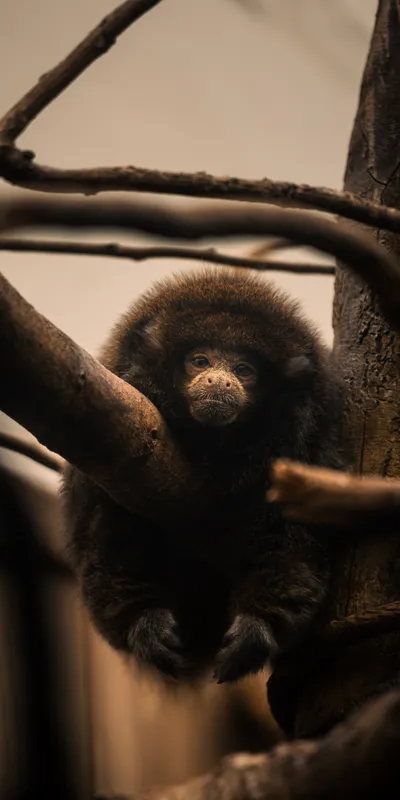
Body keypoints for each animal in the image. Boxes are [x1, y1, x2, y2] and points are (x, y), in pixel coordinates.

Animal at [62, 268, 345, 685]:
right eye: (200, 360)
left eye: (244, 370)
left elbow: (293, 545)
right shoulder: (112, 441)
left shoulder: (303, 445)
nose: (219, 381)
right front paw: (143, 622)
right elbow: (110, 533)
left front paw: (257, 626)